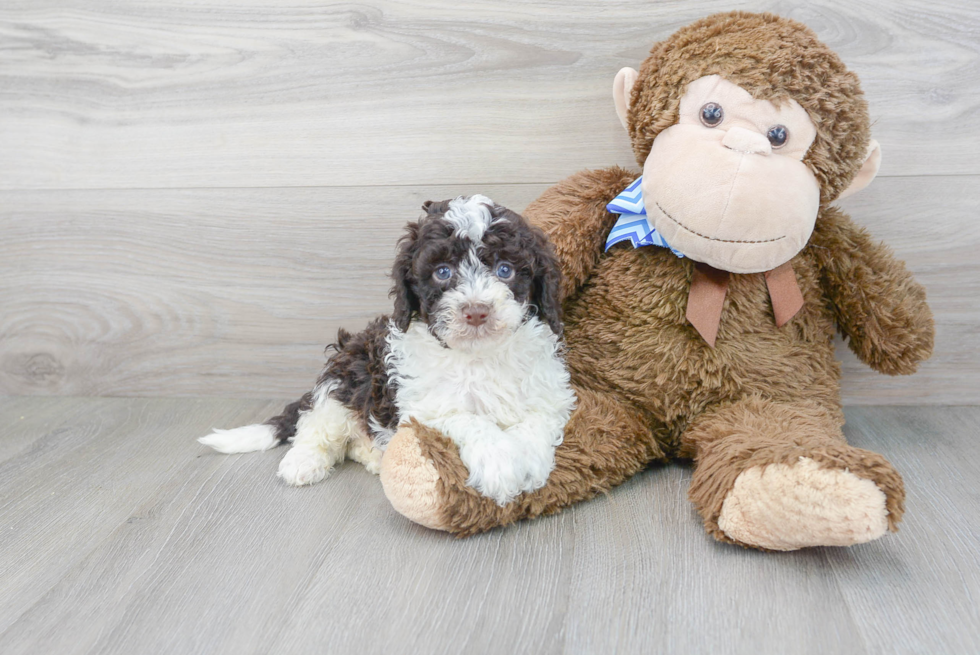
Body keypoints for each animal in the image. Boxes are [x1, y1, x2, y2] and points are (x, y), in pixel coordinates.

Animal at [202, 196, 580, 508]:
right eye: (442, 272)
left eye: (505, 269)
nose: (476, 312)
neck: (479, 356)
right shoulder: (425, 406)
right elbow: (469, 419)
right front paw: (498, 464)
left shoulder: (550, 393)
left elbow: (537, 422)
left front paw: (529, 464)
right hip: (345, 375)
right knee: (316, 424)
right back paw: (304, 462)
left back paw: (374, 455)